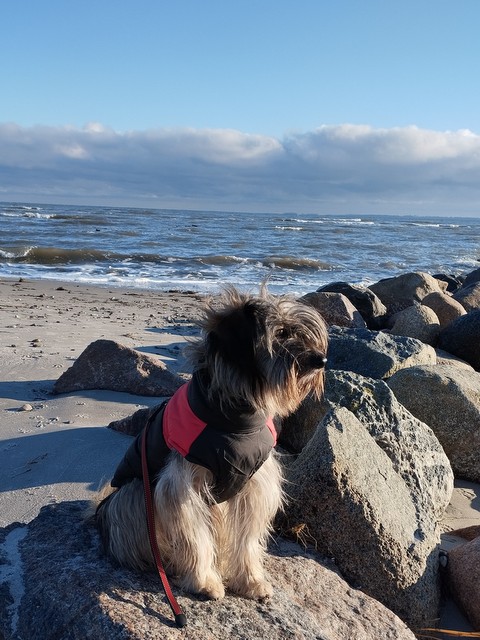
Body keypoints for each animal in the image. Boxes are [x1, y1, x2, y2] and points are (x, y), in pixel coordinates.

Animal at [95, 286, 328, 601]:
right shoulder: (183, 484)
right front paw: (203, 581)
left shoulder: (253, 484)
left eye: (301, 333)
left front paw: (251, 580)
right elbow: (195, 536)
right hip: (135, 494)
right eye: (280, 333)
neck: (234, 418)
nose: (321, 361)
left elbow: (247, 539)